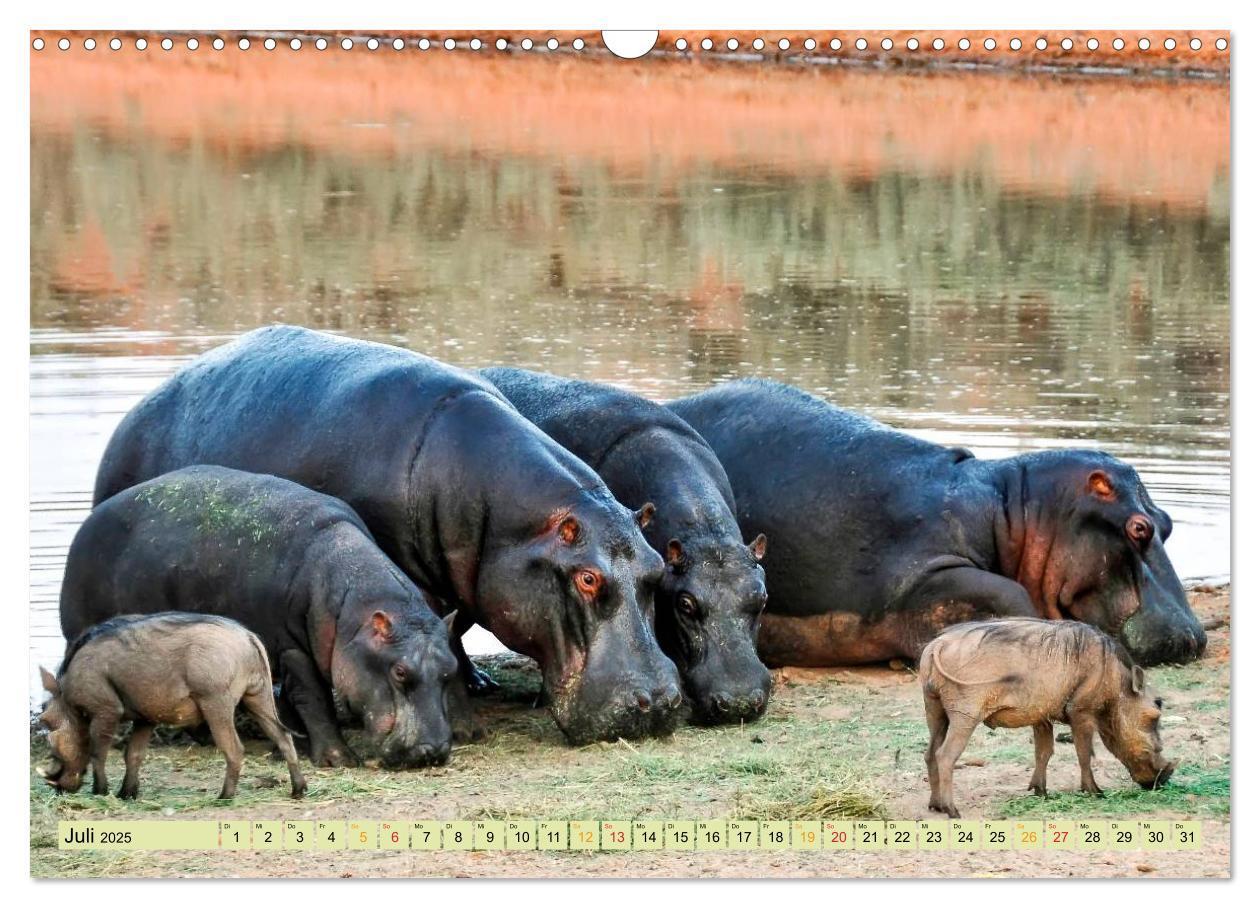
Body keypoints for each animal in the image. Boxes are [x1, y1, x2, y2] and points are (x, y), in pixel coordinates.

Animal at [40, 612, 307, 795]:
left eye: (47, 721)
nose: (59, 788)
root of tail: (248, 636)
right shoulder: (144, 718)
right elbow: (133, 754)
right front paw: (127, 794)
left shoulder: (106, 711)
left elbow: (98, 752)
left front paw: (101, 792)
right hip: (258, 697)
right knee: (283, 737)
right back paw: (299, 790)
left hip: (216, 703)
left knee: (234, 749)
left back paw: (224, 796)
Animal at [93, 327, 685, 745]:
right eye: (587, 578)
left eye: (657, 568)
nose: (659, 702)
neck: (513, 523)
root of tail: (132, 415)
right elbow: (440, 639)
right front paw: (465, 727)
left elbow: (452, 633)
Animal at [670, 375, 1209, 664]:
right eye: (1138, 527)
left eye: (1167, 522)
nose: (1195, 636)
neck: (1014, 513)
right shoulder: (923, 575)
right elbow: (1011, 594)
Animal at [922, 617, 1174, 816]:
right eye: (1154, 715)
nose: (1162, 781)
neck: (1115, 682)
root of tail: (938, 644)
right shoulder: (1081, 712)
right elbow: (1084, 754)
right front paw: (1094, 791)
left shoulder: (1041, 717)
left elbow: (1044, 753)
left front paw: (1040, 792)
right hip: (964, 715)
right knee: (945, 756)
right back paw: (952, 810)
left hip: (934, 711)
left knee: (930, 753)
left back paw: (935, 805)